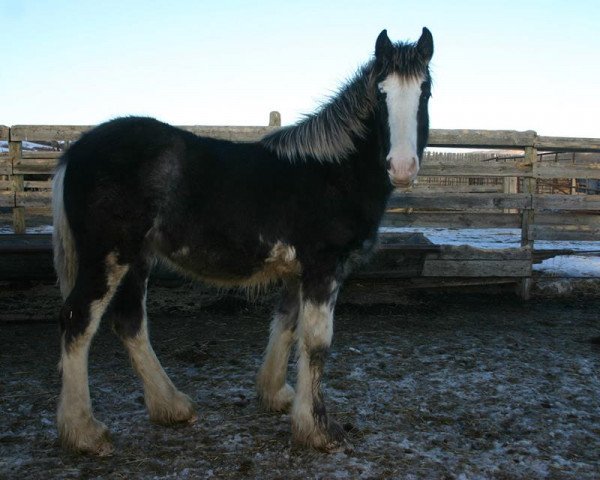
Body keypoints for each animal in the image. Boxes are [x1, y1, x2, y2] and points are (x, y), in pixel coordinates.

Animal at [51, 28, 434, 456]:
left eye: (426, 91)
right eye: (382, 94)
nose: (402, 168)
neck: (333, 172)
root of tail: (75, 151)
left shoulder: (296, 272)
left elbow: (286, 325)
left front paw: (276, 395)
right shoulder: (323, 268)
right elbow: (317, 343)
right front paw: (317, 430)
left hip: (138, 258)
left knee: (130, 322)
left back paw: (171, 406)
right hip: (109, 256)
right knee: (79, 321)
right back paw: (84, 431)